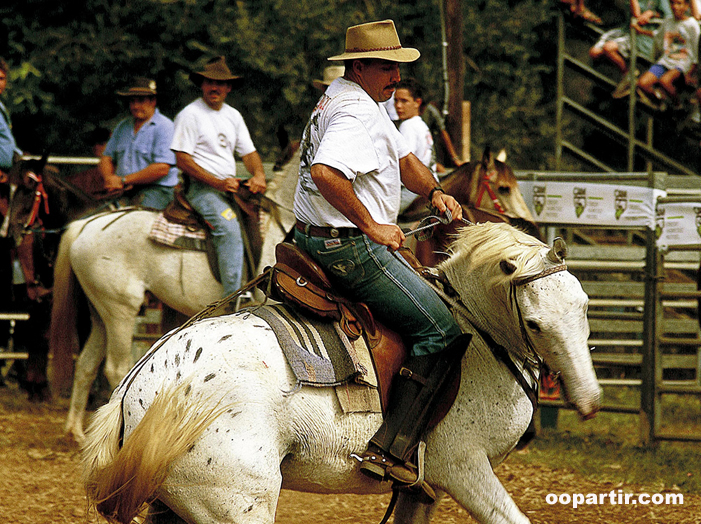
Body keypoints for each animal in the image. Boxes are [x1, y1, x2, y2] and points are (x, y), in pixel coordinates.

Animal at [52, 159, 296, 442]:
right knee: (116, 368)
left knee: (85, 365)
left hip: (100, 312)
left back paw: (76, 432)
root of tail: (87, 225)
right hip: (120, 310)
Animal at [80, 223, 596, 524]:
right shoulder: (464, 467)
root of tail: (136, 385)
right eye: (535, 323)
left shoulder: (421, 491)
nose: (589, 399)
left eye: (585, 305)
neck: (478, 336)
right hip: (235, 502)